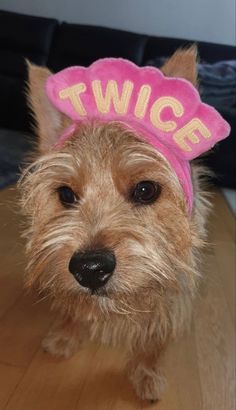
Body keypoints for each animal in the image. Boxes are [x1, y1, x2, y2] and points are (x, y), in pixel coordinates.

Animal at [19, 47, 230, 400]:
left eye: (146, 190)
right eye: (65, 194)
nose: (89, 268)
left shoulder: (173, 297)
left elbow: (155, 340)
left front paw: (147, 374)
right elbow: (72, 309)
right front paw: (65, 336)